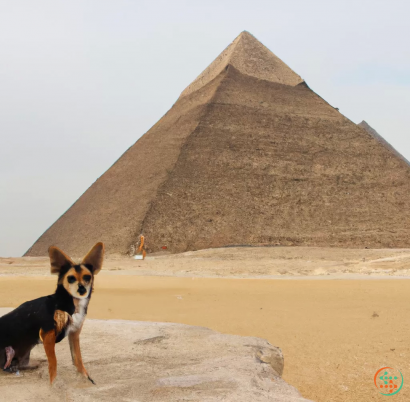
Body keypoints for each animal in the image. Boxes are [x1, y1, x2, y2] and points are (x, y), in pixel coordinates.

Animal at [0, 242, 104, 384]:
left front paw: (87, 379)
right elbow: (53, 364)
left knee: (18, 364)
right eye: (71, 278)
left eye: (87, 277)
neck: (69, 303)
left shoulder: (74, 333)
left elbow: (78, 359)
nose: (82, 289)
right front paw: (53, 383)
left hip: (25, 351)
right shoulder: (48, 335)